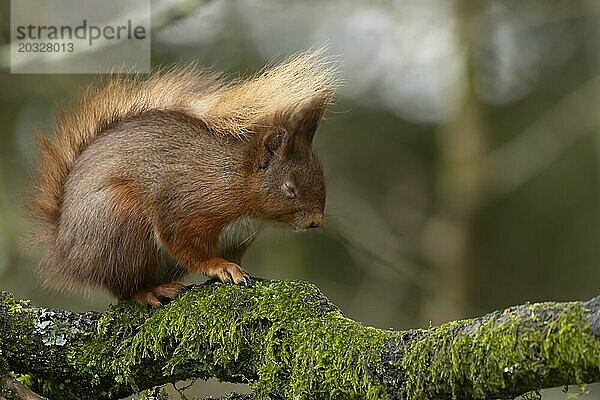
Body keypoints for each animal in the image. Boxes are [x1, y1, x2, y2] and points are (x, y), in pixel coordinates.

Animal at [27, 49, 338, 306]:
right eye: (290, 188)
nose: (316, 222)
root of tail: (66, 254)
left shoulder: (237, 239)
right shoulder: (187, 205)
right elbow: (183, 243)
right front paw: (219, 266)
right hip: (122, 221)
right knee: (124, 286)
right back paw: (151, 292)